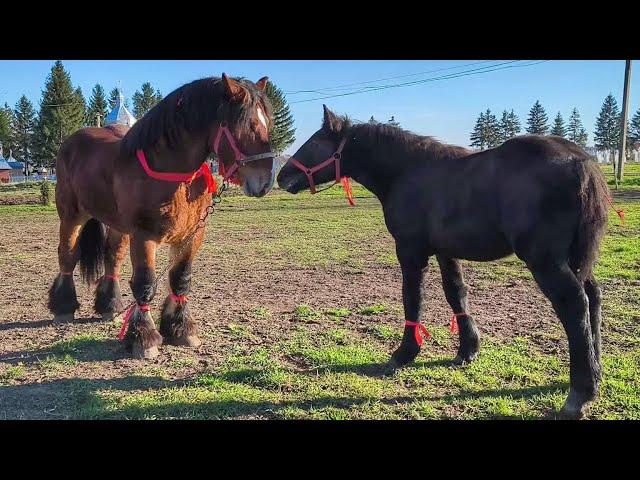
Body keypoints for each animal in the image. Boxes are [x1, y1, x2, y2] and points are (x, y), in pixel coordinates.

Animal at [47, 75, 272, 358]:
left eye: (267, 123)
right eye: (247, 125)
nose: (265, 182)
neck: (171, 172)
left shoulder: (192, 235)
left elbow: (180, 279)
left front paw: (180, 328)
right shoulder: (144, 235)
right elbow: (145, 283)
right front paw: (143, 337)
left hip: (117, 225)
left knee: (113, 258)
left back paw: (109, 305)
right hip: (71, 215)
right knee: (67, 255)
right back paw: (63, 307)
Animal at [278, 104, 612, 416]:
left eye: (314, 141)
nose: (281, 176)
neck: (408, 172)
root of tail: (581, 162)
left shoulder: (410, 251)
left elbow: (413, 299)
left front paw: (404, 353)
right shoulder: (445, 251)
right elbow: (456, 294)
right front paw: (467, 349)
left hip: (545, 260)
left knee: (574, 304)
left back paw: (579, 393)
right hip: (576, 259)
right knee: (593, 297)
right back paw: (595, 373)